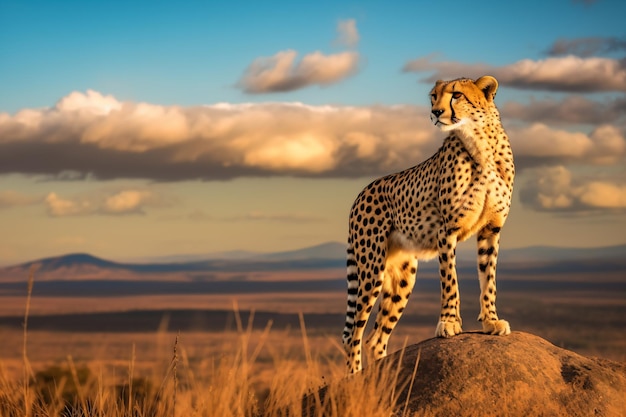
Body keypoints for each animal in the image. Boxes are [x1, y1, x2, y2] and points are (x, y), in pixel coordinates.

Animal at [342, 76, 512, 372]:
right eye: (434, 96)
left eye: (456, 95)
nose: (435, 112)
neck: (480, 145)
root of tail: (363, 191)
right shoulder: (447, 231)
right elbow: (450, 280)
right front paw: (449, 323)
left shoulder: (491, 229)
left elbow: (488, 279)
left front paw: (491, 320)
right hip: (371, 269)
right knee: (354, 333)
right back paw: (355, 376)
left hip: (403, 278)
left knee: (376, 337)